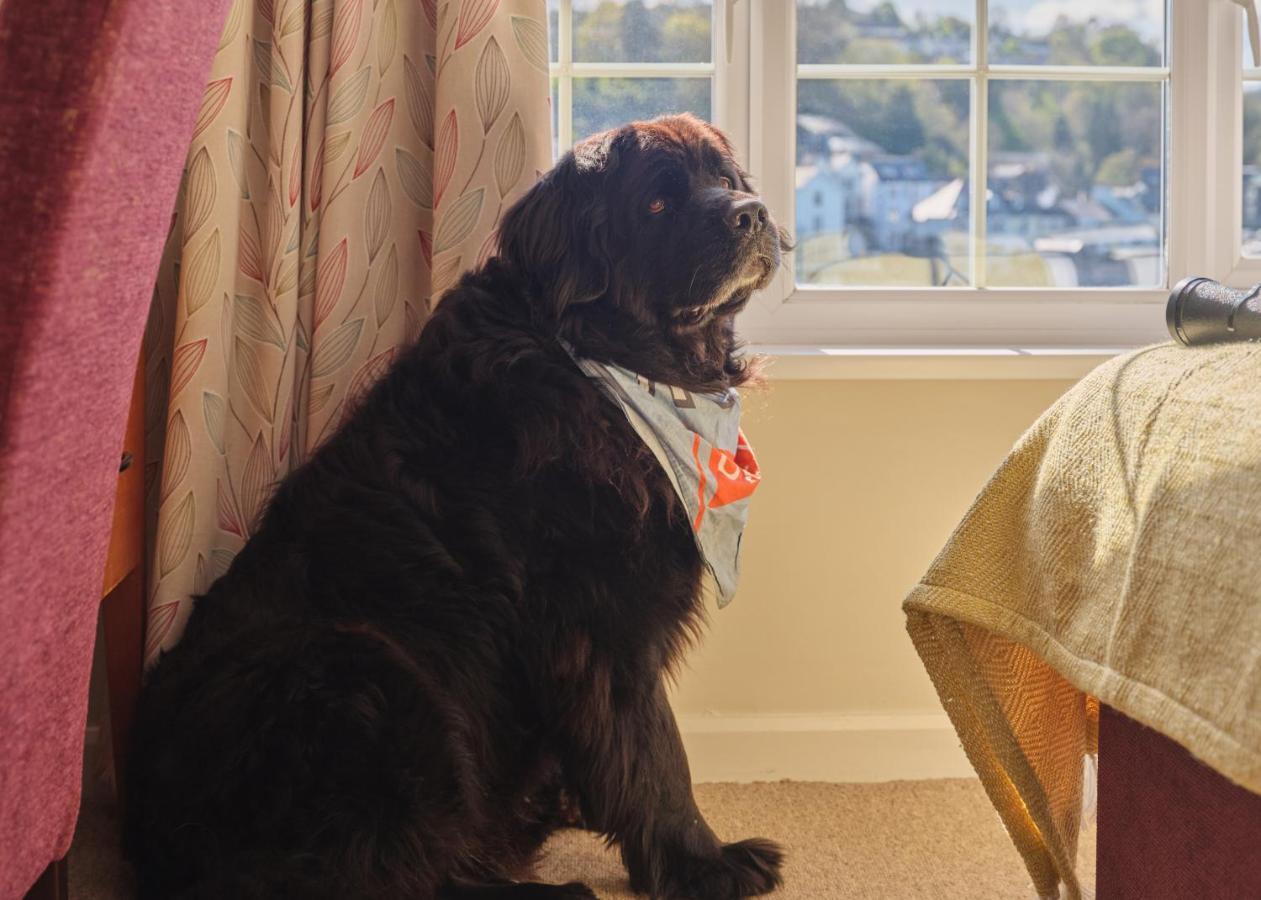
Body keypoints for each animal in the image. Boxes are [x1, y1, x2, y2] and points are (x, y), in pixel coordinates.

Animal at [122, 115, 781, 892]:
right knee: (397, 871)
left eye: (725, 178)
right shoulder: (602, 627)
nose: (751, 213)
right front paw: (705, 863)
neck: (601, 364)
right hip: (370, 674)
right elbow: (654, 753)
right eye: (655, 203)